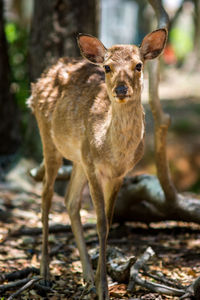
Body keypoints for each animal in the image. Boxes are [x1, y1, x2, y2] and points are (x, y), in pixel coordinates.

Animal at [27, 28, 167, 300]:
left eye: (138, 65)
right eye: (107, 67)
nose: (121, 89)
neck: (112, 152)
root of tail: (38, 82)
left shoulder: (117, 174)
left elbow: (109, 223)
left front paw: (101, 284)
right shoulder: (94, 168)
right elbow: (100, 223)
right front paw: (104, 290)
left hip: (79, 157)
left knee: (70, 201)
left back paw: (87, 278)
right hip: (48, 138)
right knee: (46, 196)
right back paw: (45, 274)